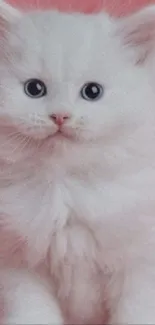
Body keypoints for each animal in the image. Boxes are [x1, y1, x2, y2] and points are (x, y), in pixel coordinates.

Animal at [0, 1, 155, 322]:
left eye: (92, 92)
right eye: (34, 89)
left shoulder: (140, 267)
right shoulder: (20, 266)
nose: (60, 116)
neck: (65, 189)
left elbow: (135, 313)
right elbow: (33, 312)